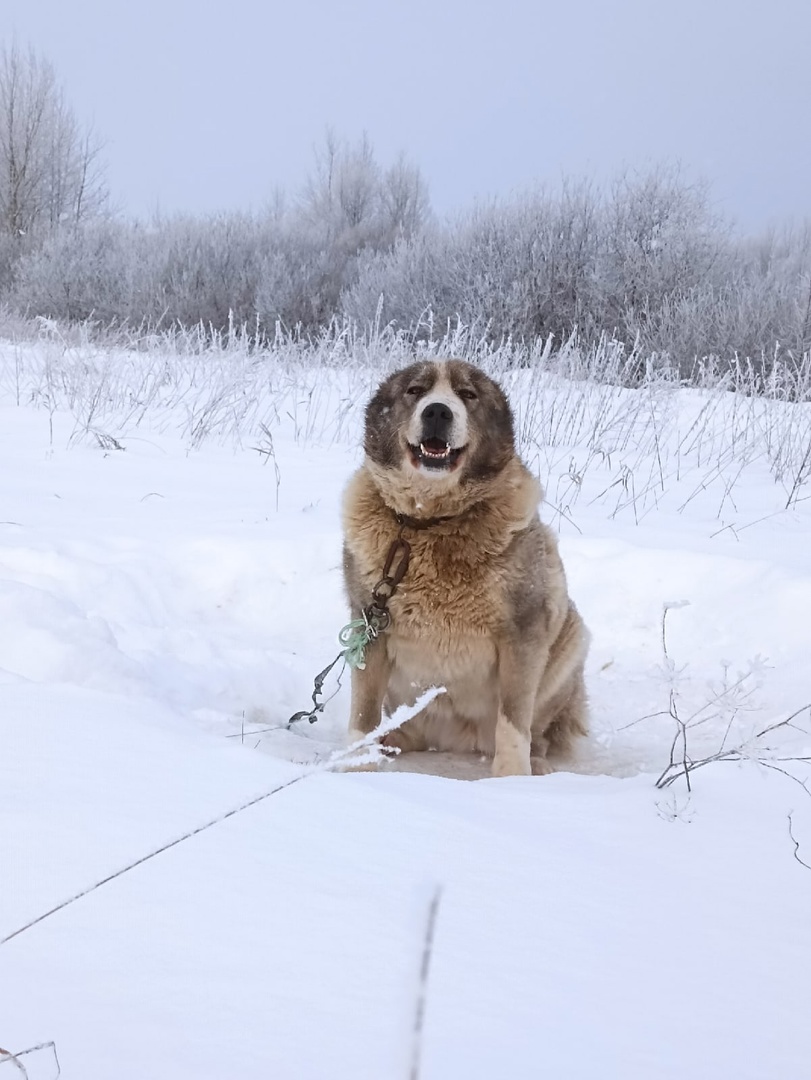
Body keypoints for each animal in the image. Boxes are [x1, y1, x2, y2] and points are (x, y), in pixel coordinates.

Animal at [343, 360, 591, 777]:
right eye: (415, 390)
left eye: (468, 395)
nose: (438, 412)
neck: (430, 523)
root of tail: (454, 741)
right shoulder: (369, 623)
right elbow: (363, 711)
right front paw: (354, 767)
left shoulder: (524, 629)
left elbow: (513, 719)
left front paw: (512, 779)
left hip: (571, 634)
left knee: (537, 731)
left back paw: (537, 763)